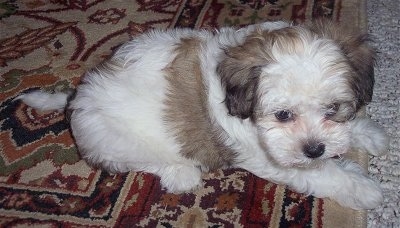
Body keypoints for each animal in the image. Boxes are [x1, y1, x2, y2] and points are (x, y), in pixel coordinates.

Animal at [18, 20, 388, 209]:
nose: (314, 149)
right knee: (134, 160)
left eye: (333, 109)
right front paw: (365, 190)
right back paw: (181, 173)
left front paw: (368, 134)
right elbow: (325, 174)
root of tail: (77, 99)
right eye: (283, 115)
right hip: (115, 140)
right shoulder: (271, 156)